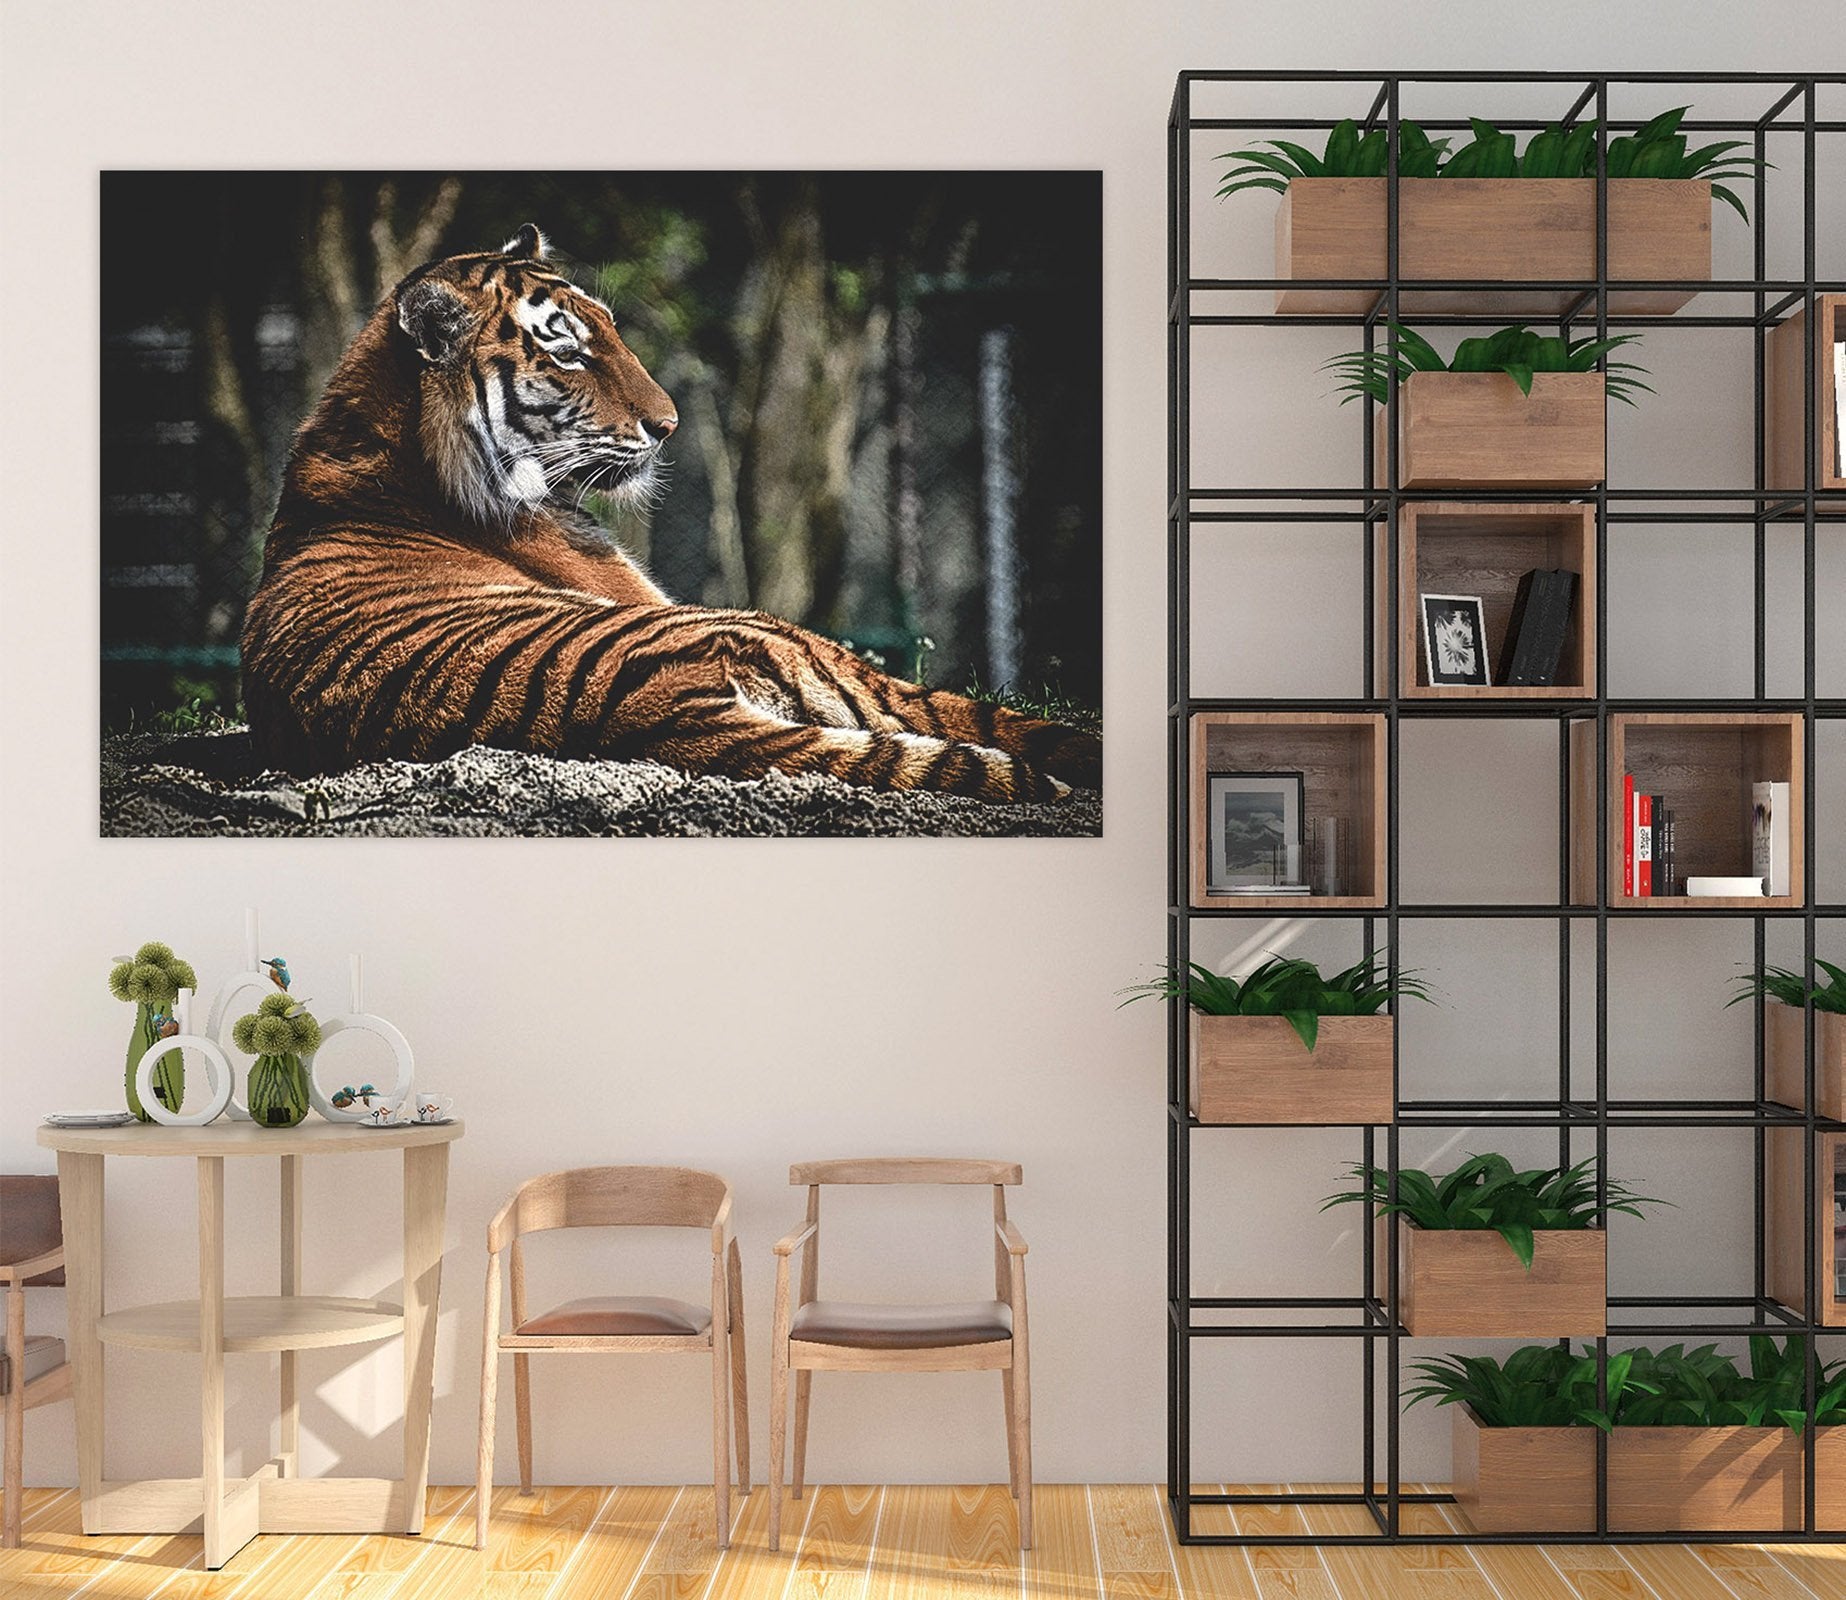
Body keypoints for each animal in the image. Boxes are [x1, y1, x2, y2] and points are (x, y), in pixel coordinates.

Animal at [240, 224, 1101, 803]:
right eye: (568, 351)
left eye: (611, 331)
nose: (669, 425)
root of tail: (659, 710)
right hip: (779, 636)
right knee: (972, 715)